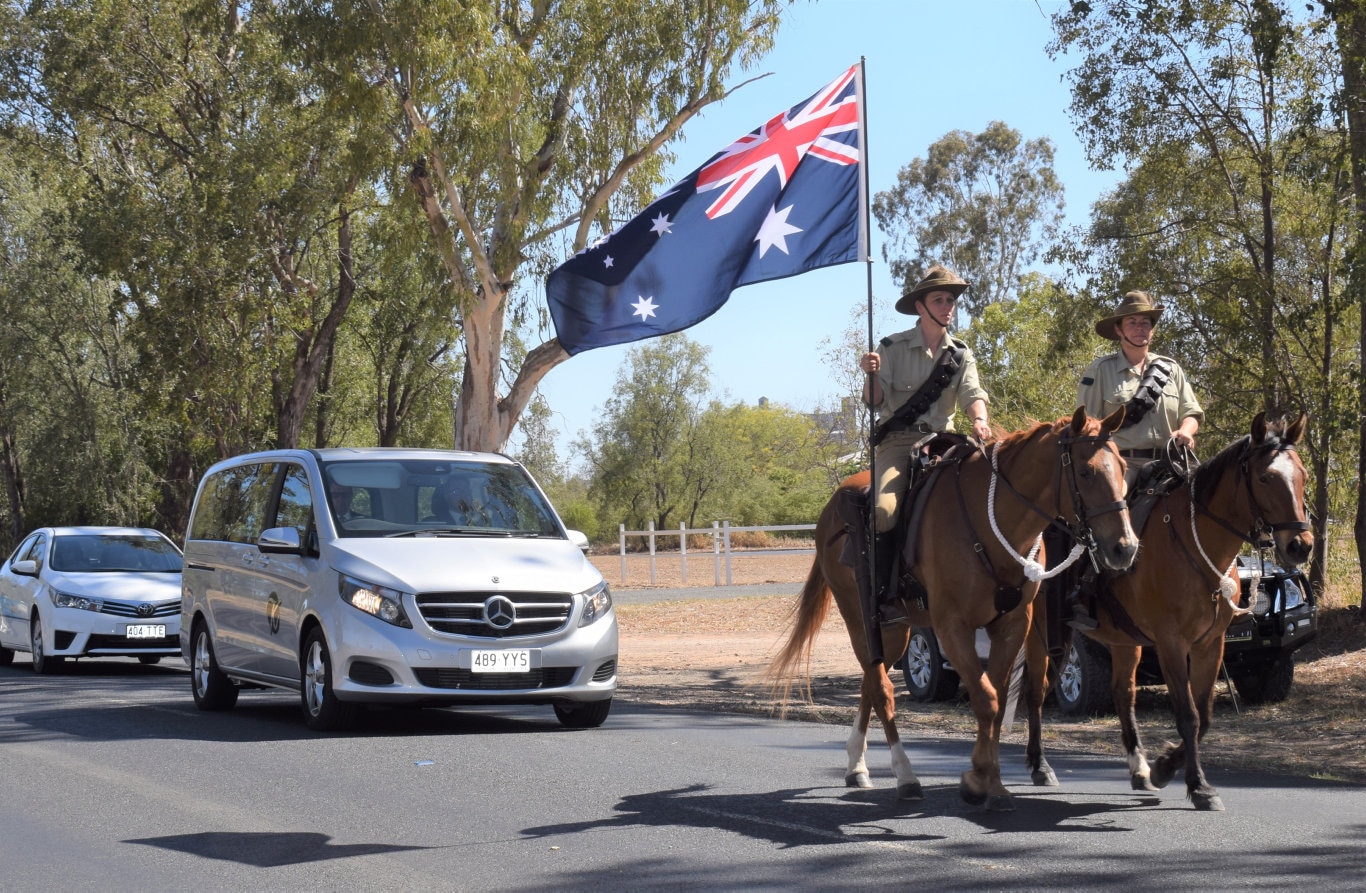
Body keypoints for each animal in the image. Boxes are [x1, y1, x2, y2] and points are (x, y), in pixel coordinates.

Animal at [770, 409, 1141, 813]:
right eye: (1086, 472)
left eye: (1124, 467)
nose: (1125, 548)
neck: (991, 523)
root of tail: (830, 510)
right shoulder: (953, 629)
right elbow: (987, 700)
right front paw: (980, 780)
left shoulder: (1012, 625)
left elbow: (997, 700)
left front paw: (993, 782)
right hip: (859, 620)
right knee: (882, 690)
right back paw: (905, 775)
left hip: (895, 630)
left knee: (872, 684)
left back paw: (857, 765)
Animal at [1027, 412, 1311, 813]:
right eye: (1266, 478)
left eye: (1302, 474)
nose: (1301, 545)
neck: (1196, 544)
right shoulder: (1171, 643)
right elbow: (1188, 715)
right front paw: (1199, 786)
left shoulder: (1210, 644)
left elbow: (1204, 714)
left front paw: (1163, 768)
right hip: (1042, 634)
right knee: (1036, 692)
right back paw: (1040, 766)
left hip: (1123, 641)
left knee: (1123, 694)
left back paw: (1139, 769)